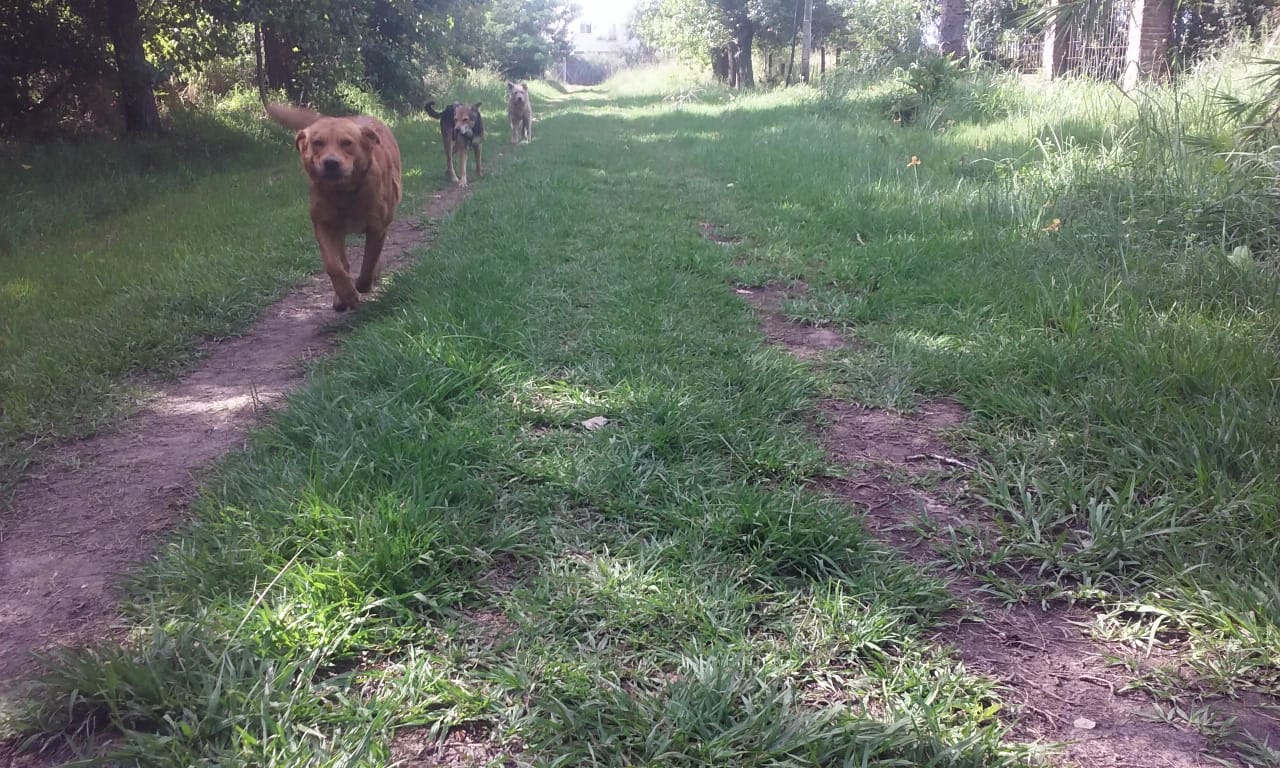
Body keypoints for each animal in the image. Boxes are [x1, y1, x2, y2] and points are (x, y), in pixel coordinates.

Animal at [268, 103, 404, 312]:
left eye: (347, 143)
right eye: (317, 142)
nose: (331, 163)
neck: (344, 194)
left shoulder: (377, 227)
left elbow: (369, 261)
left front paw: (363, 284)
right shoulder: (325, 225)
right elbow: (334, 265)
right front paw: (346, 294)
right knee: (343, 262)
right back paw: (341, 297)